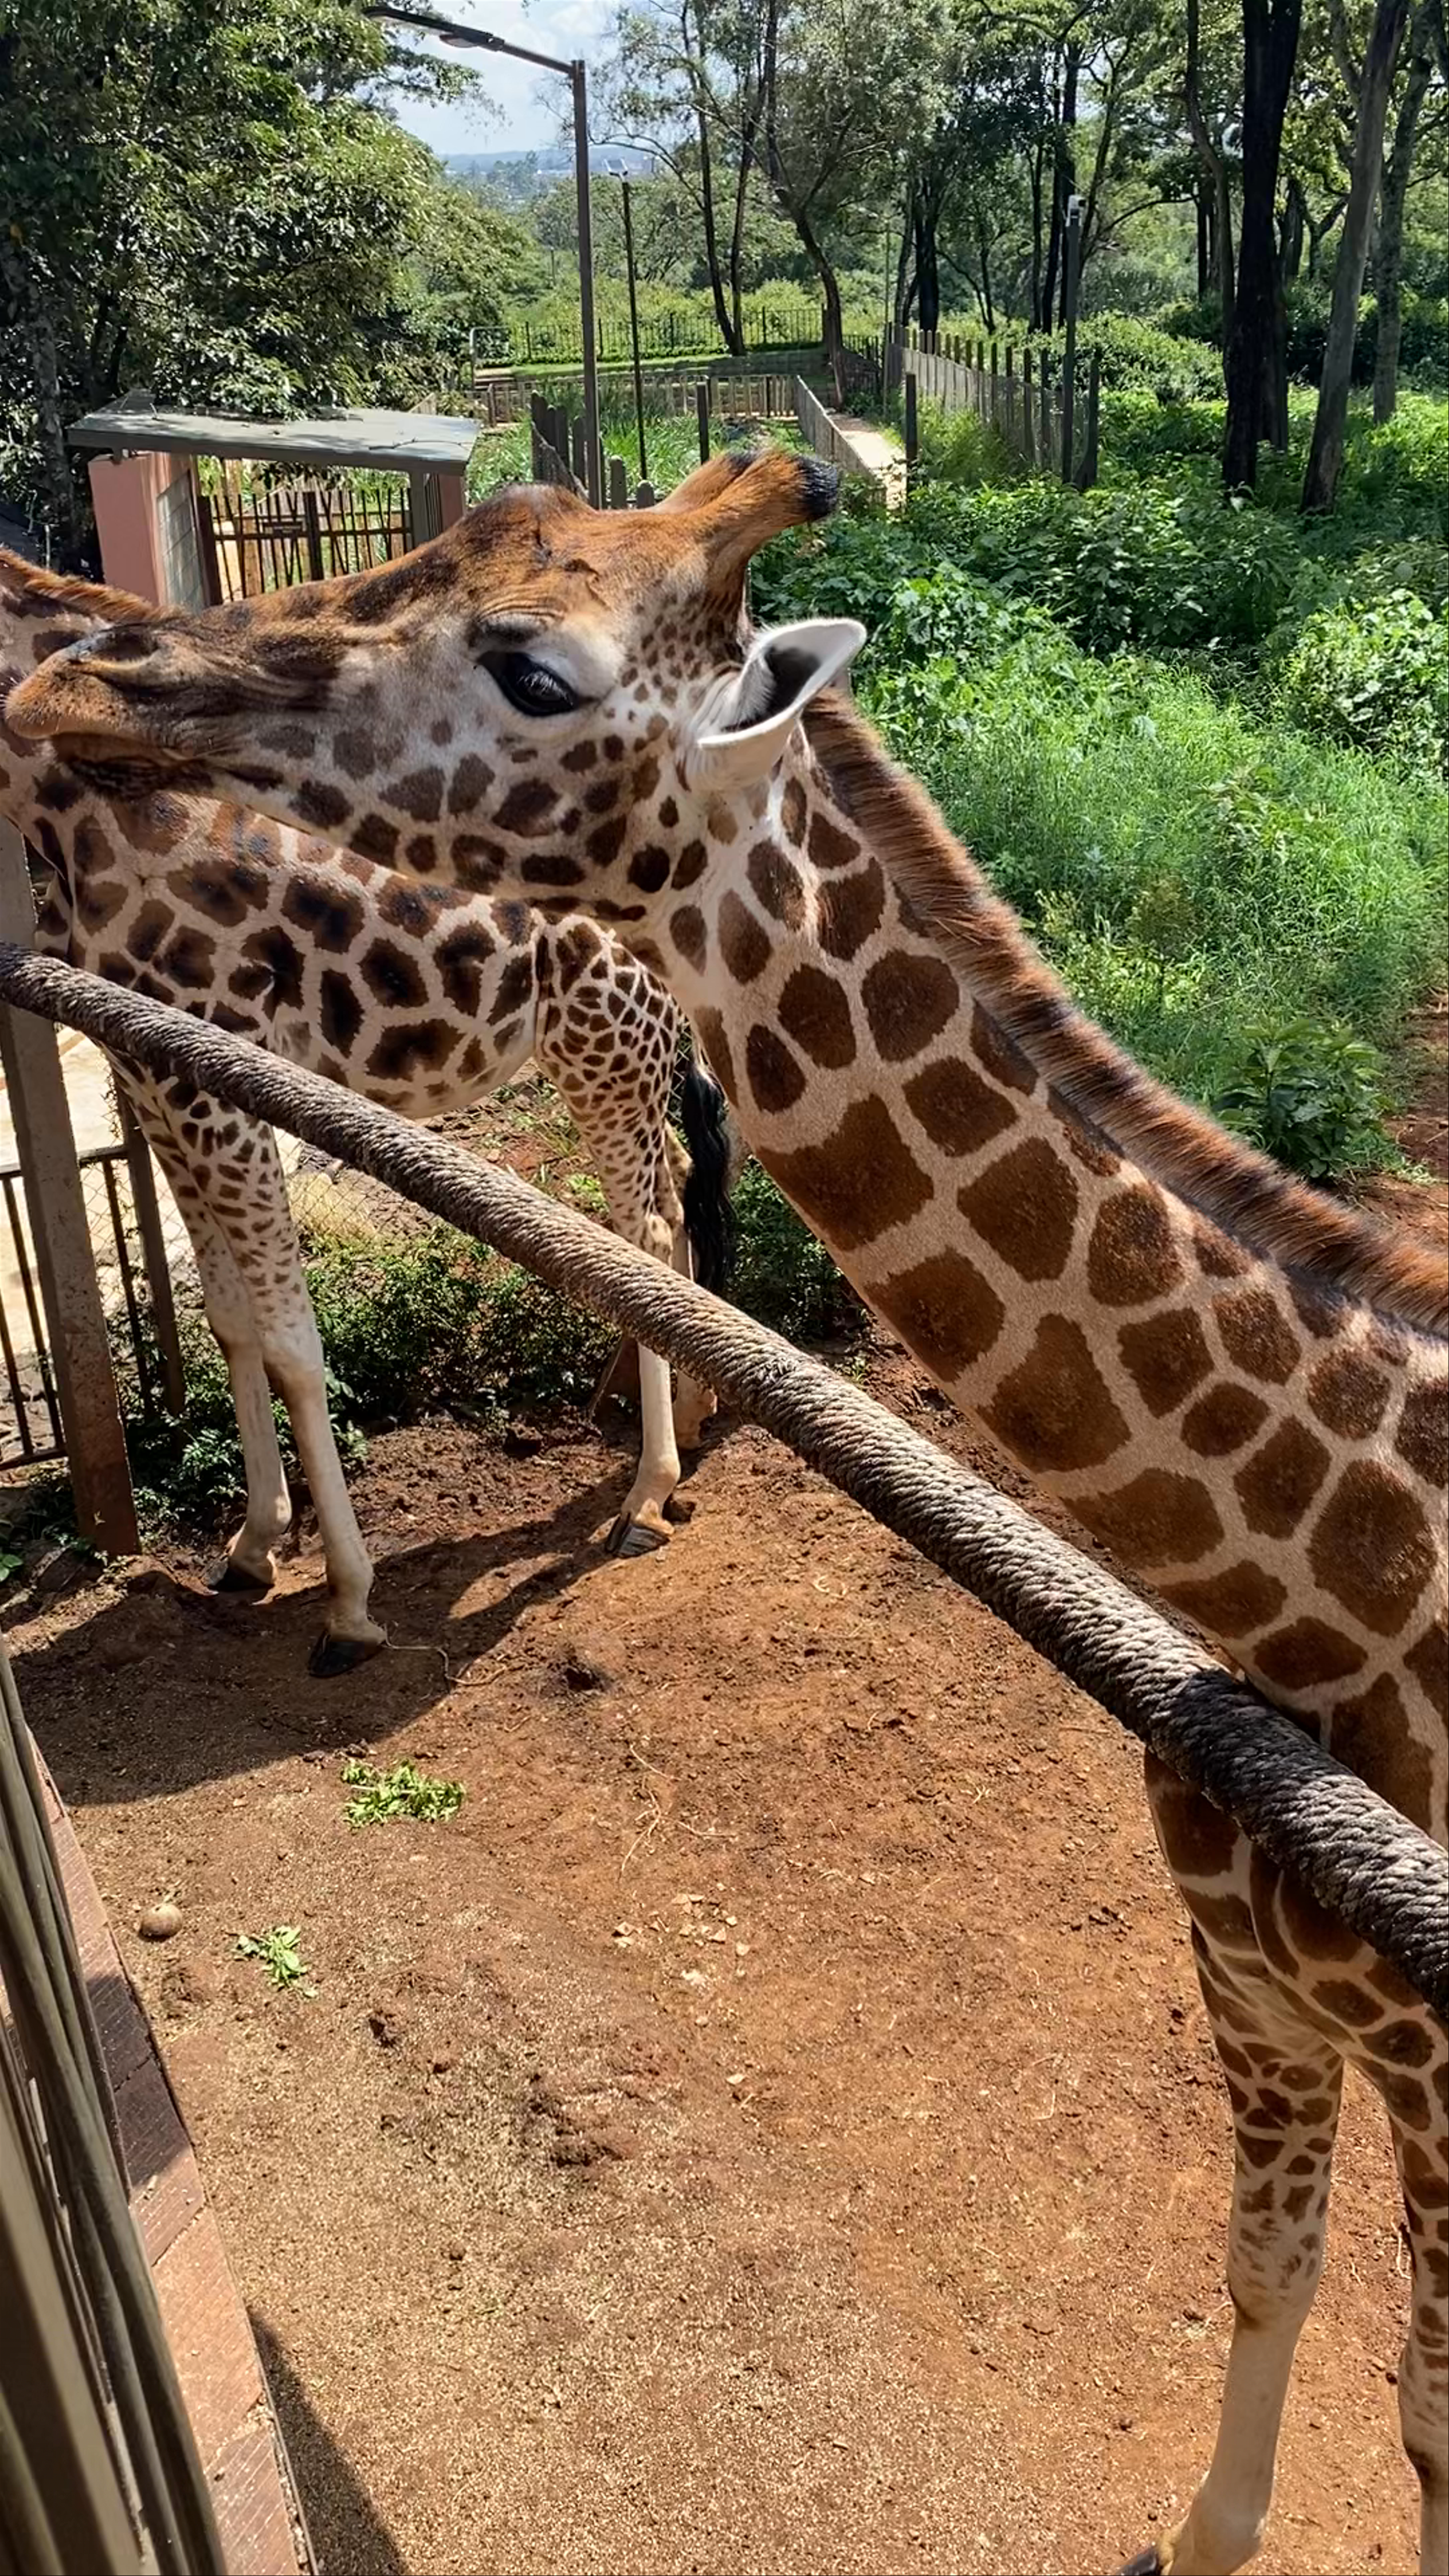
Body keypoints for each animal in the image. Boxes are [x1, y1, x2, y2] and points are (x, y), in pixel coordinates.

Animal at [0, 549, 733, 1676]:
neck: (75, 817)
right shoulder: (153, 1076)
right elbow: (229, 1320)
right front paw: (253, 1545)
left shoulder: (221, 1083)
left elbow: (292, 1343)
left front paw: (347, 1601)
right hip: (633, 1052)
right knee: (680, 1202)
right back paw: (688, 1428)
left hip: (601, 1039)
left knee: (645, 1232)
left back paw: (646, 1493)